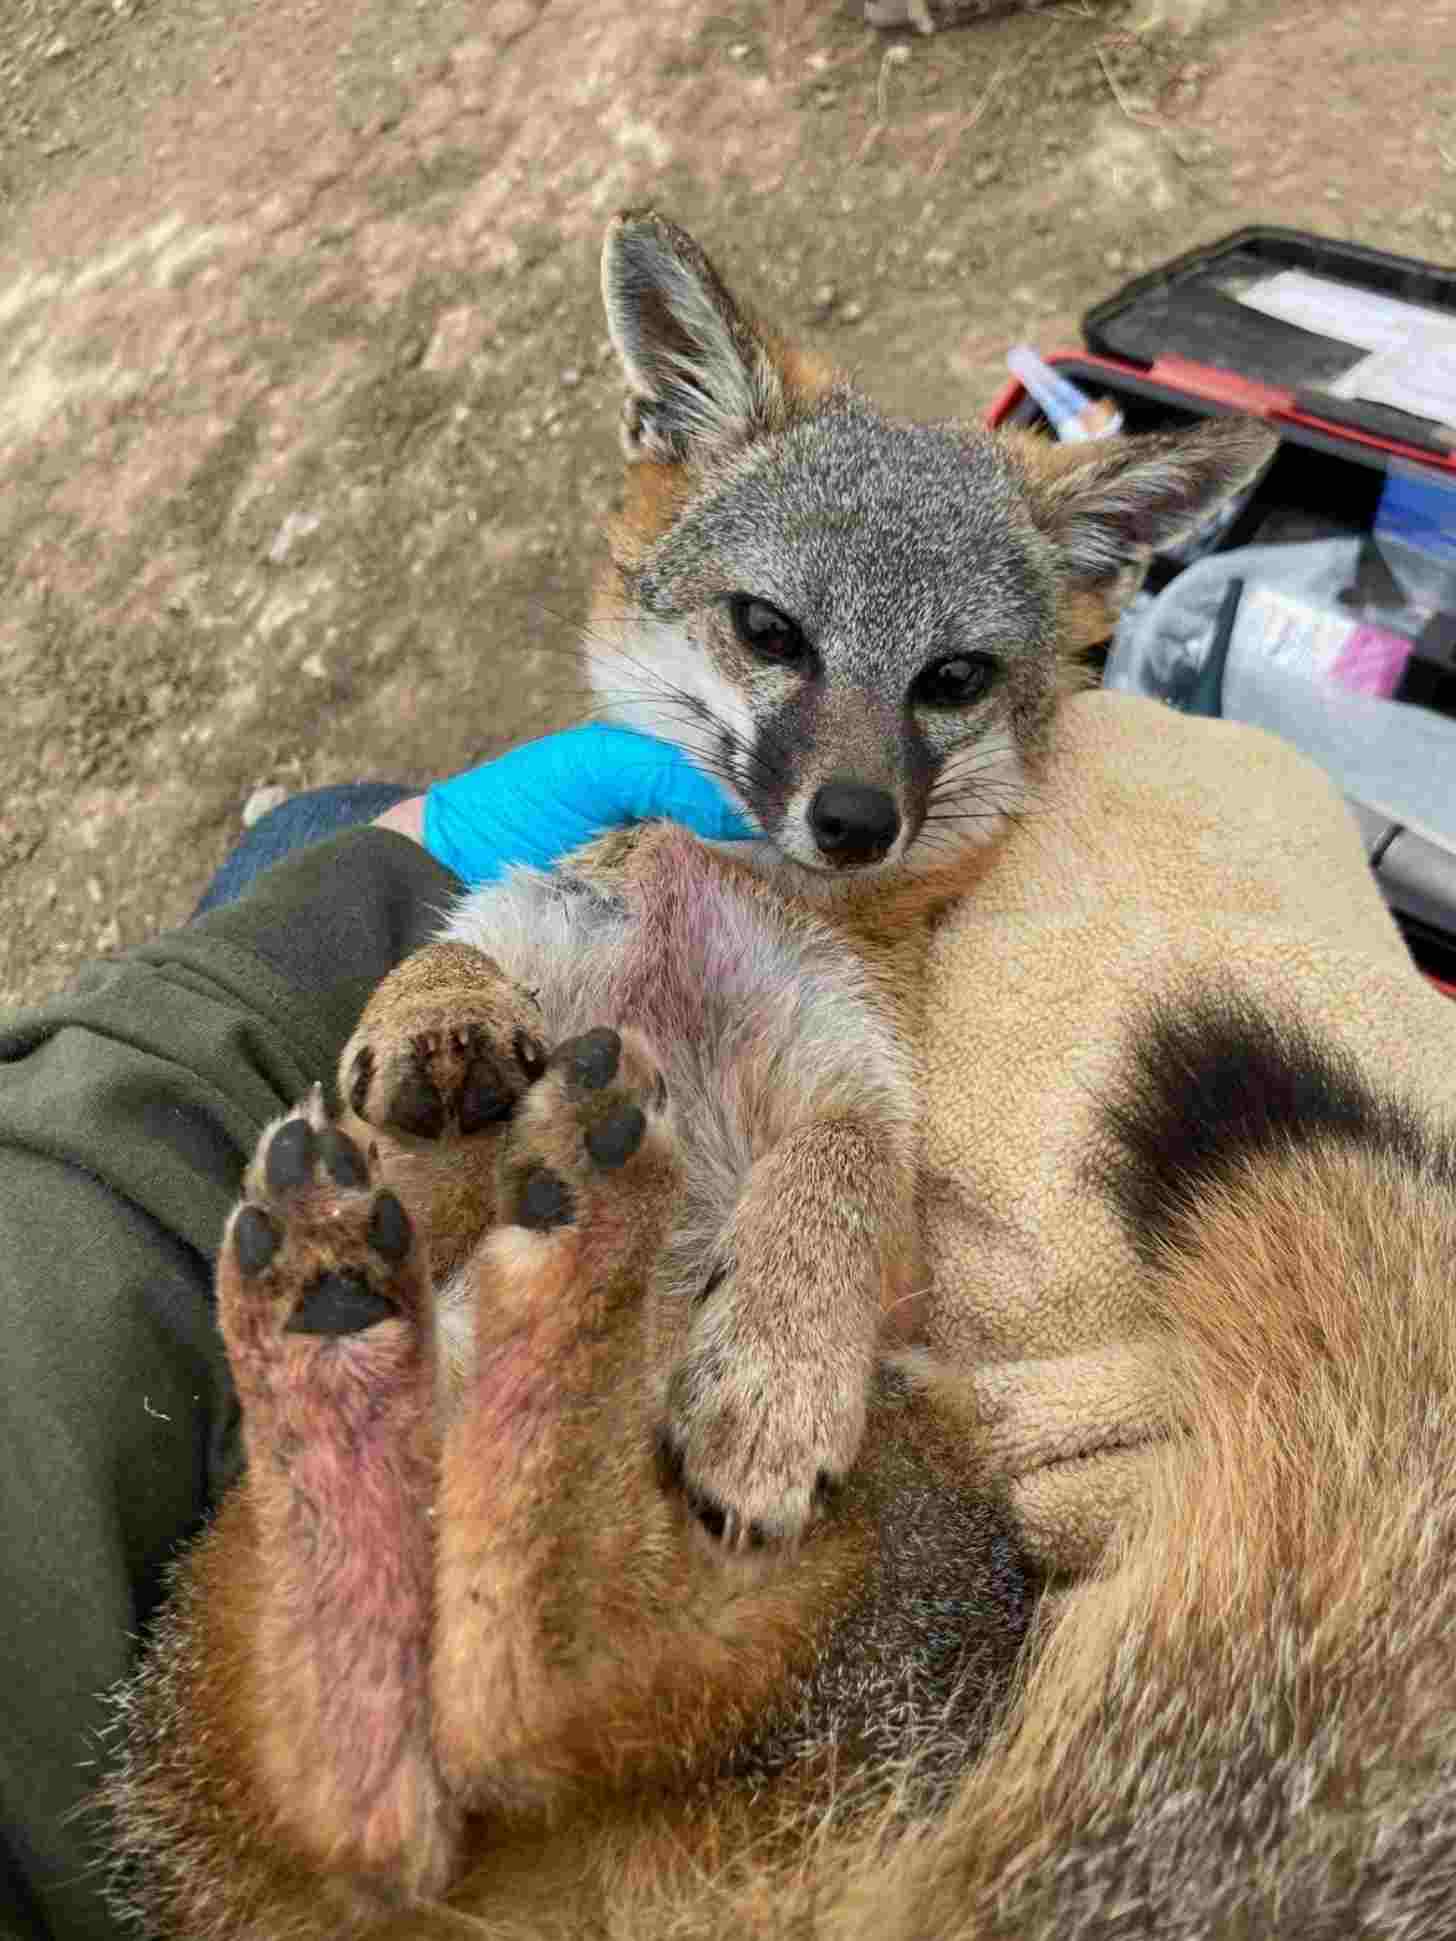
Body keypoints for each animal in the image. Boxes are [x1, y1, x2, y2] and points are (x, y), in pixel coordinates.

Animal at [95, 213, 1331, 1937]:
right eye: (770, 632)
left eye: (953, 678)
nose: (855, 820)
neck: (699, 913)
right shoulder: (530, 914)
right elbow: (450, 953)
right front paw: (431, 1035)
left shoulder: (854, 1079)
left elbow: (830, 1191)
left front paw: (774, 1375)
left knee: (511, 1674)